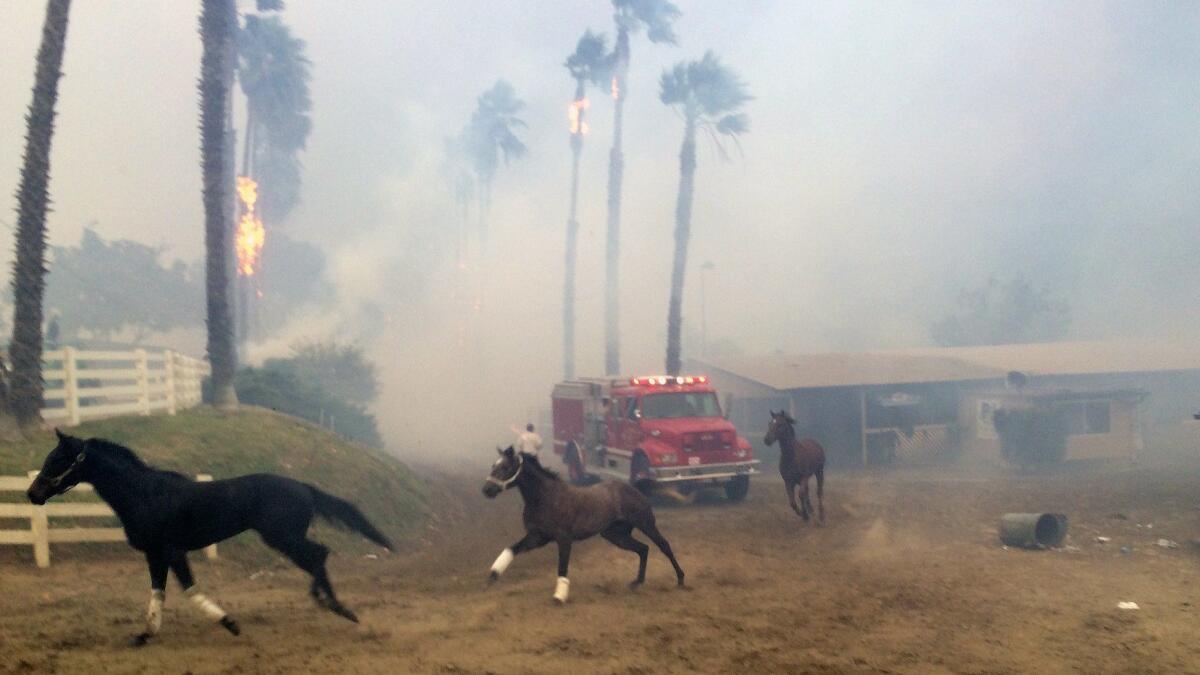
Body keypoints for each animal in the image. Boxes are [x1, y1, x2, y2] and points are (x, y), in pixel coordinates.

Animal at [27, 427, 393, 643]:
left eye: (58, 458)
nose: (32, 494)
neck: (145, 494)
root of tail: (304, 487)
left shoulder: (172, 551)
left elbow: (189, 590)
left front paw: (230, 623)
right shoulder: (154, 554)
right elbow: (157, 592)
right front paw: (145, 634)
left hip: (282, 537)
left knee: (319, 555)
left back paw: (335, 606)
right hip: (284, 538)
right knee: (318, 556)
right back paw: (332, 605)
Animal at [480, 446, 686, 598]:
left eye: (505, 468)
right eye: (493, 465)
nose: (487, 490)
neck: (545, 497)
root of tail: (634, 488)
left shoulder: (564, 539)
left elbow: (562, 567)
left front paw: (559, 597)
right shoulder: (537, 537)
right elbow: (511, 549)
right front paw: (493, 574)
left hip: (646, 524)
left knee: (663, 546)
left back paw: (680, 579)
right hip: (615, 535)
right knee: (643, 549)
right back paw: (637, 582)